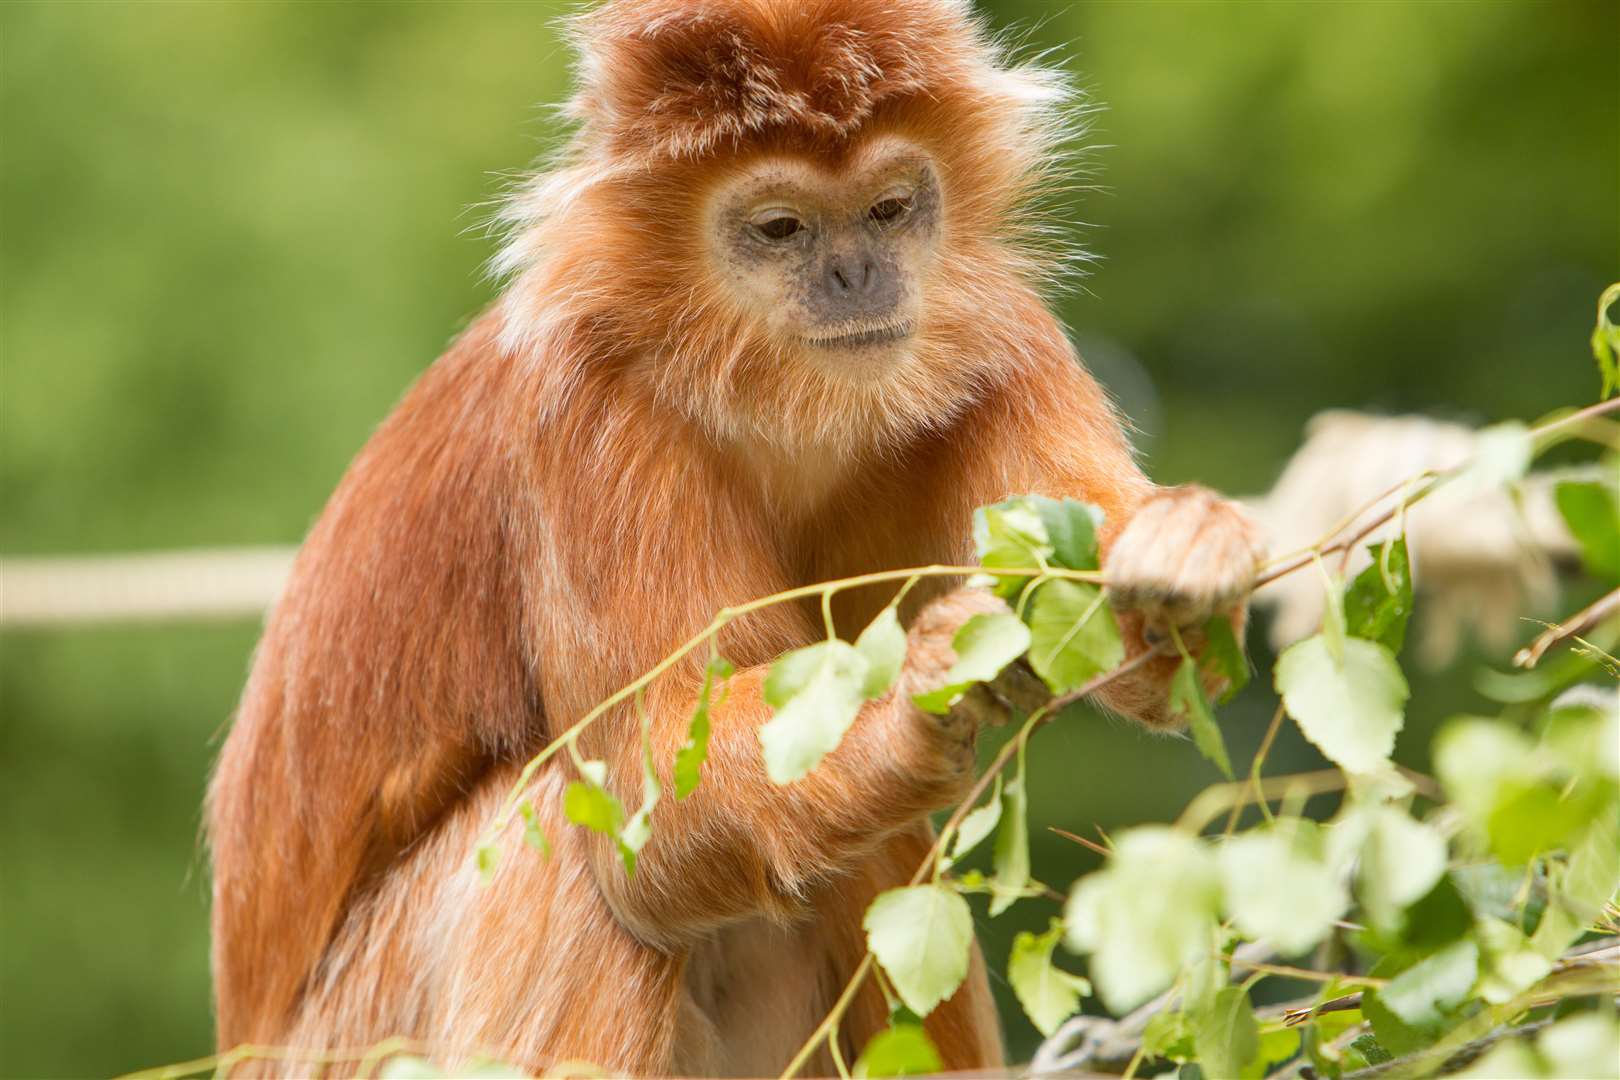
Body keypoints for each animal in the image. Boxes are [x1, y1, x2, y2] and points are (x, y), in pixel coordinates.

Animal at [202, 4, 1263, 1075]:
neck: (772, 403)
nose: (856, 275)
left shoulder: (1002, 337)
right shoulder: (588, 414)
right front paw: (914, 697)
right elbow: (650, 805)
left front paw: (1191, 545)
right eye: (782, 228)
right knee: (561, 832)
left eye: (890, 210)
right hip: (354, 1036)